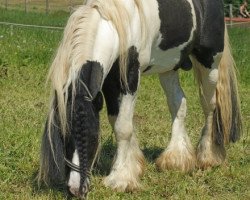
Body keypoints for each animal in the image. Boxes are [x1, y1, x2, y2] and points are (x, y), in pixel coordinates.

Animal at [38, 0, 241, 198]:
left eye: (93, 134)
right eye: (62, 135)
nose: (74, 189)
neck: (116, 23)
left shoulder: (129, 78)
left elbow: (123, 128)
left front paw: (120, 179)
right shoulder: (110, 81)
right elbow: (116, 121)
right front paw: (132, 166)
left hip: (209, 63)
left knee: (209, 106)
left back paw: (208, 156)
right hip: (169, 68)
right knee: (178, 103)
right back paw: (176, 159)